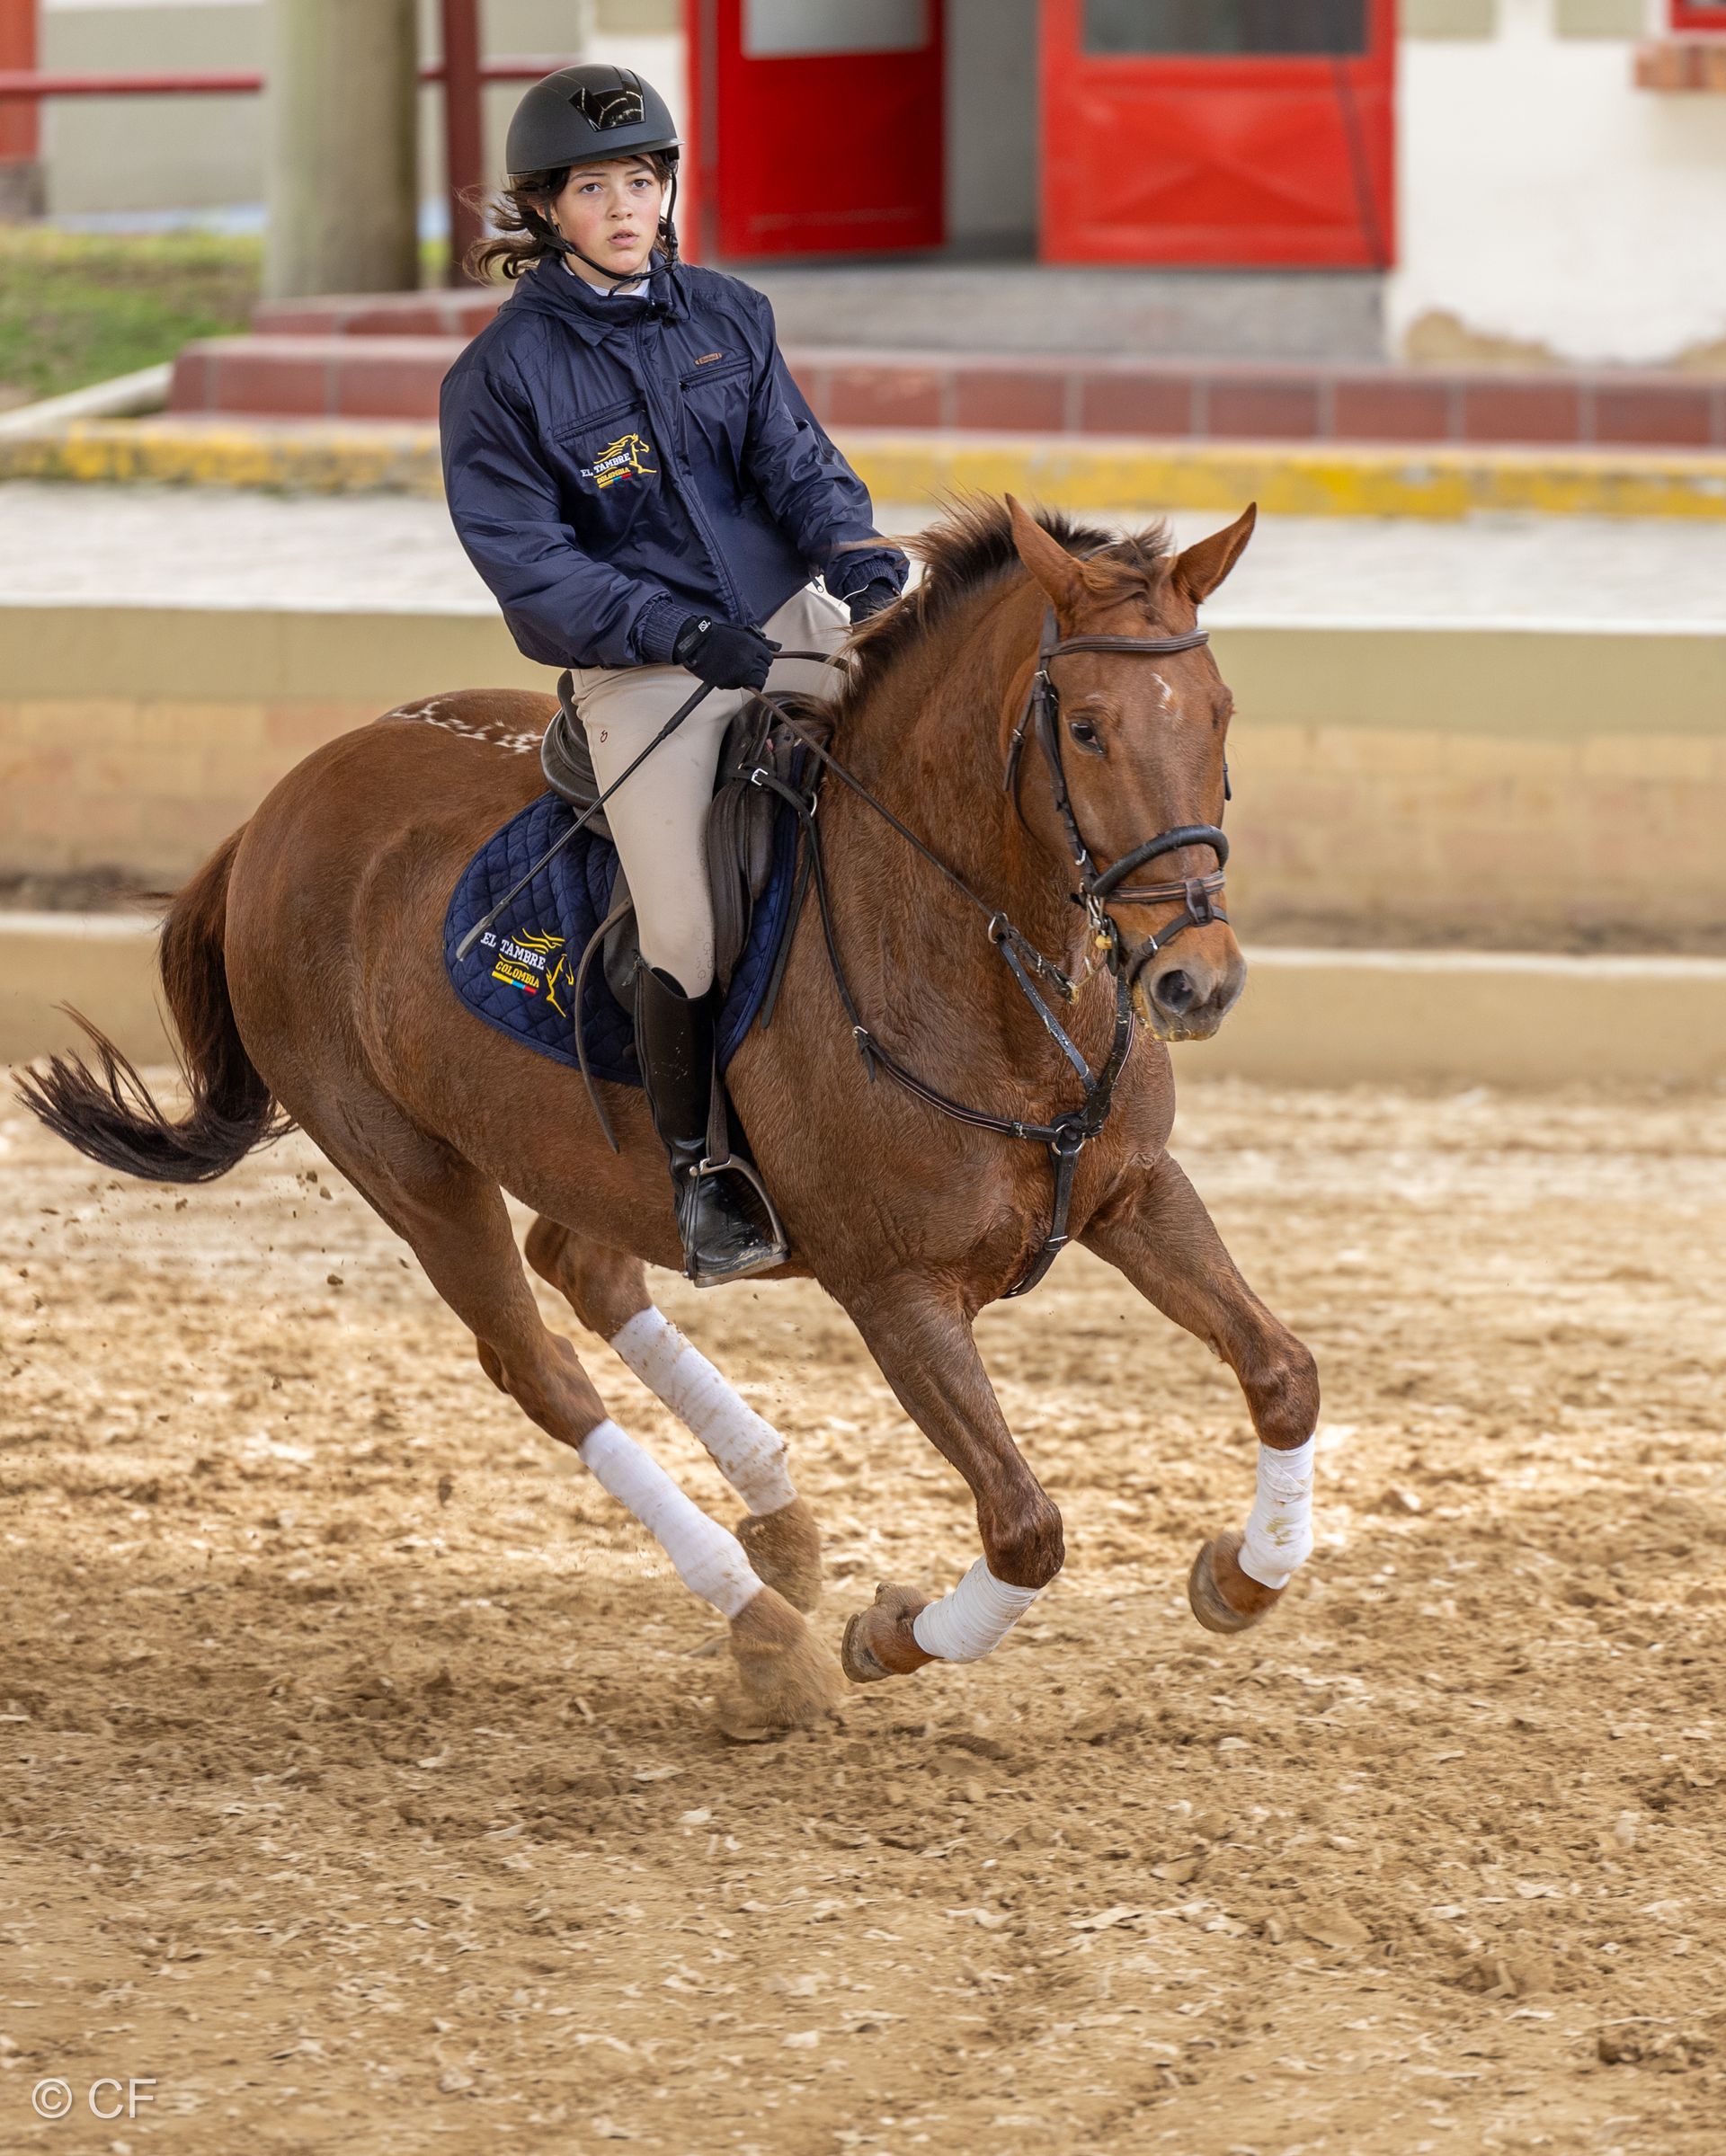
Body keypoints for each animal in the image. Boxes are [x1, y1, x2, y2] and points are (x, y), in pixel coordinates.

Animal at [17, 494, 1321, 1735]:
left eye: (1217, 712)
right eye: (1087, 726)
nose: (1195, 980)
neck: (989, 966)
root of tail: (276, 809)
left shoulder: (1135, 1192)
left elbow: (1284, 1370)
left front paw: (1243, 1574)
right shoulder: (894, 1289)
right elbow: (1024, 1524)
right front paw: (888, 1634)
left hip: (592, 1156)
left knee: (583, 1266)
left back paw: (779, 1519)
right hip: (410, 1166)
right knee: (540, 1366)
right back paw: (767, 1633)